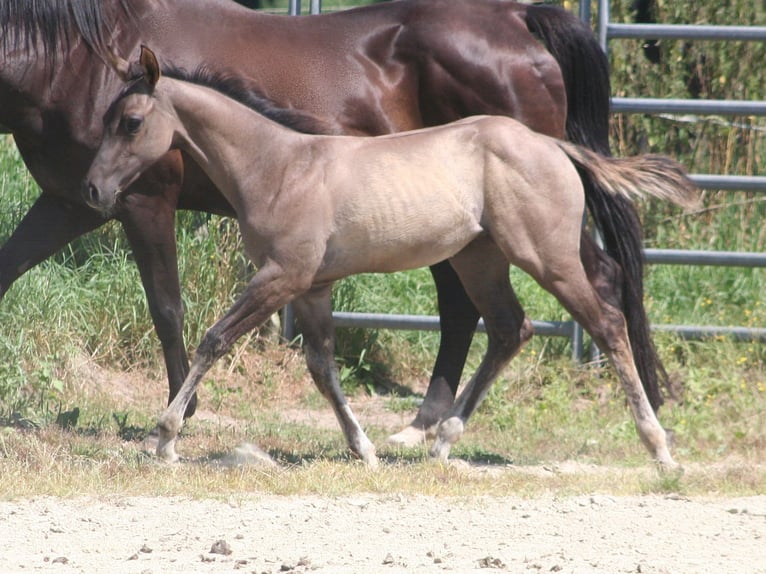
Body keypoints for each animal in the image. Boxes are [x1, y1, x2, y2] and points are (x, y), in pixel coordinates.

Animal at [85, 48, 704, 472]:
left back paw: (659, 448)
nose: (93, 189)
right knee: (511, 329)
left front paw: (164, 437)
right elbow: (322, 367)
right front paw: (364, 450)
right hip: (480, 261)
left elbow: (215, 339)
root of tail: (552, 145)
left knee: (607, 324)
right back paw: (445, 441)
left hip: (547, 257)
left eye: (132, 122)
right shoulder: (312, 287)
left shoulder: (281, 277)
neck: (279, 167)